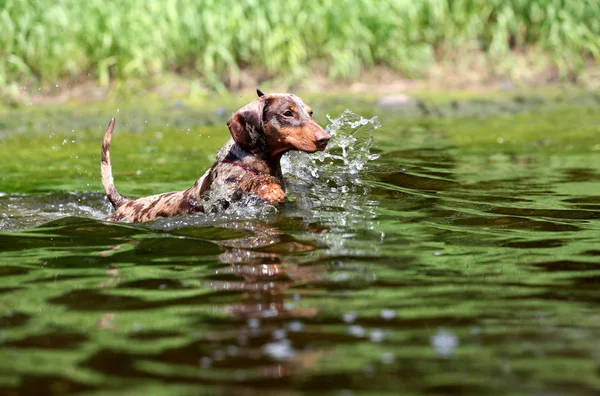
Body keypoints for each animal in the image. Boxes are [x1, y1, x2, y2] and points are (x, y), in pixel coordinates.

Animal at [101, 89, 330, 223]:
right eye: (288, 113)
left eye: (310, 112)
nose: (325, 139)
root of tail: (123, 203)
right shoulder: (222, 196)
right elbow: (250, 184)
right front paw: (268, 188)